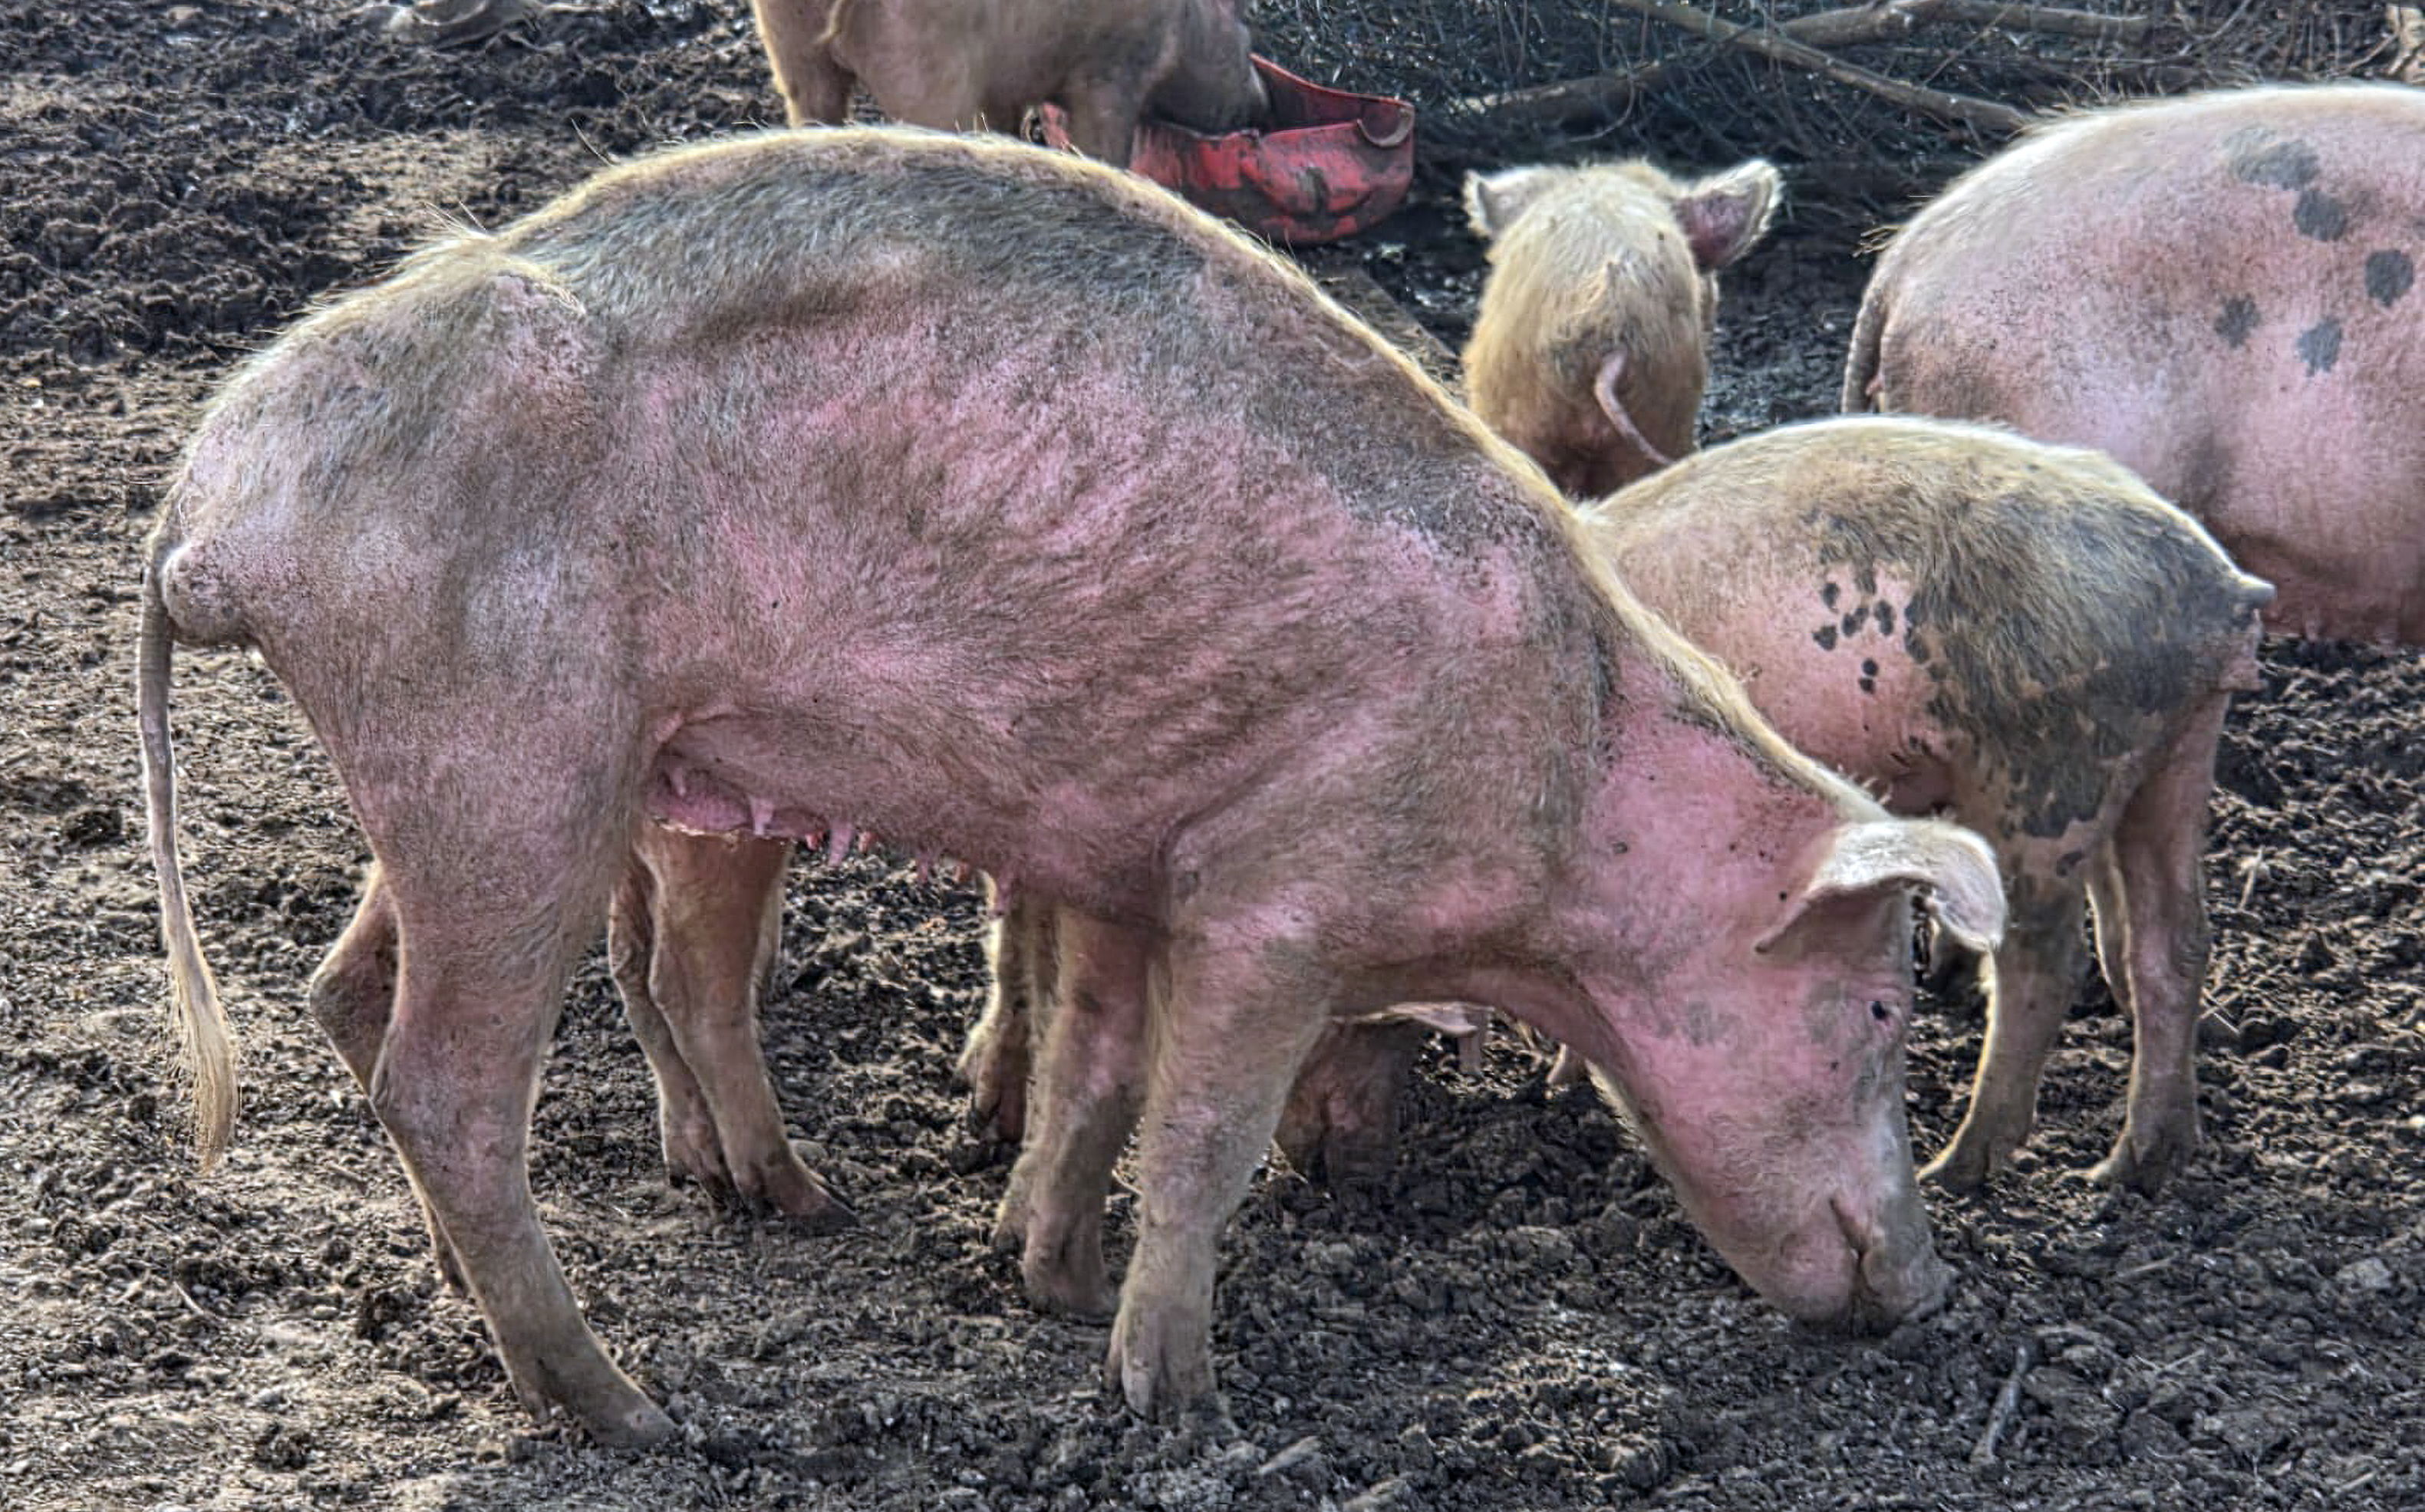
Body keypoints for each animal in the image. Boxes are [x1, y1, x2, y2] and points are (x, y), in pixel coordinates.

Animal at [750, 0, 1266, 167]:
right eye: (1246, 39)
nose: (1261, 103)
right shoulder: (1113, 71)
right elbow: (1104, 142)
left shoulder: (1007, 84)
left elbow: (1007, 121)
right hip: (929, 68)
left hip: (790, 43)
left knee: (813, 107)